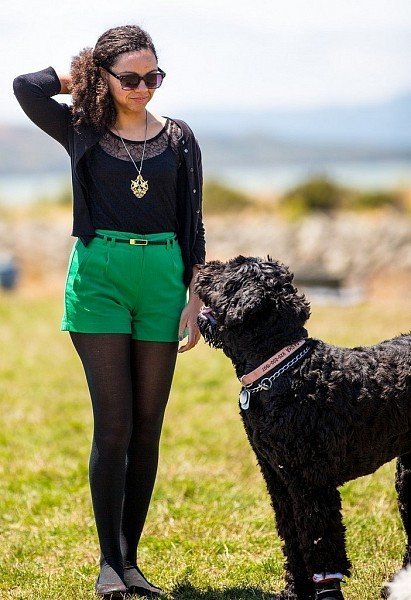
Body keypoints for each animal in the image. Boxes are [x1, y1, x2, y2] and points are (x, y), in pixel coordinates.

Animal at [196, 256, 411, 600]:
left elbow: (319, 542)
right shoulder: (279, 479)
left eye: (232, 269)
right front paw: (295, 590)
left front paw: (327, 591)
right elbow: (293, 539)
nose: (201, 267)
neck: (284, 370)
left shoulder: (311, 483)